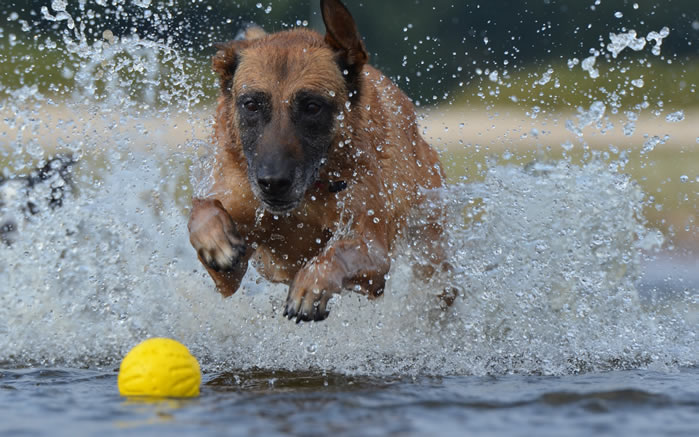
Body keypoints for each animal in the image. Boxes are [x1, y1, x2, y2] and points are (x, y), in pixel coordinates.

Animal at [189, 0, 446, 320]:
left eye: (312, 106)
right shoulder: (230, 273)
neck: (306, 202)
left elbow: (339, 252)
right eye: (251, 105)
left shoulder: (375, 255)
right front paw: (214, 238)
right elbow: (202, 209)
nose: (273, 183)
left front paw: (311, 285)